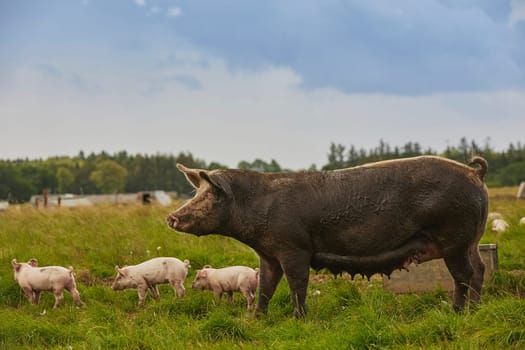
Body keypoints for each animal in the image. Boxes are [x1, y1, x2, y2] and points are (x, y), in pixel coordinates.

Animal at [167, 156, 488, 318]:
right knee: (480, 269)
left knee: (463, 274)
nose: (171, 217)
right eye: (196, 192)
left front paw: (299, 319)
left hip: (453, 238)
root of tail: (475, 173)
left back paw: (458, 312)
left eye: (209, 196)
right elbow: (266, 286)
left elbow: (297, 284)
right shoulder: (269, 254)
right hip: (471, 241)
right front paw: (256, 319)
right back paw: (475, 308)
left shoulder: (294, 247)